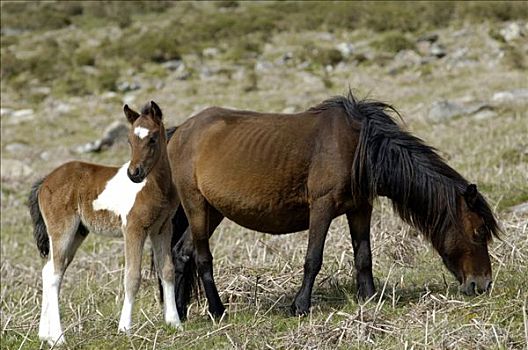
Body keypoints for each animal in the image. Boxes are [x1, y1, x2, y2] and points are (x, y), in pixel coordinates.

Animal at [29, 100, 182, 344]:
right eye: (129, 140)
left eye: (152, 138)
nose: (134, 173)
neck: (155, 186)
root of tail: (45, 181)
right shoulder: (133, 229)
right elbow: (132, 276)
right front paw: (125, 328)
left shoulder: (162, 228)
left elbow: (167, 270)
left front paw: (174, 323)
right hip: (62, 230)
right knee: (53, 275)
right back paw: (59, 338)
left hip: (78, 232)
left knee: (49, 270)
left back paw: (45, 335)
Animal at [167, 91, 502, 320]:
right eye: (478, 230)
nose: (482, 284)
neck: (359, 146)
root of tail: (179, 131)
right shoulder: (322, 206)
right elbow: (313, 258)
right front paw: (300, 306)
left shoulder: (360, 208)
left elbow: (364, 256)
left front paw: (369, 298)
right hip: (196, 205)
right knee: (202, 258)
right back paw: (217, 311)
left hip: (212, 210)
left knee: (182, 252)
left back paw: (180, 312)